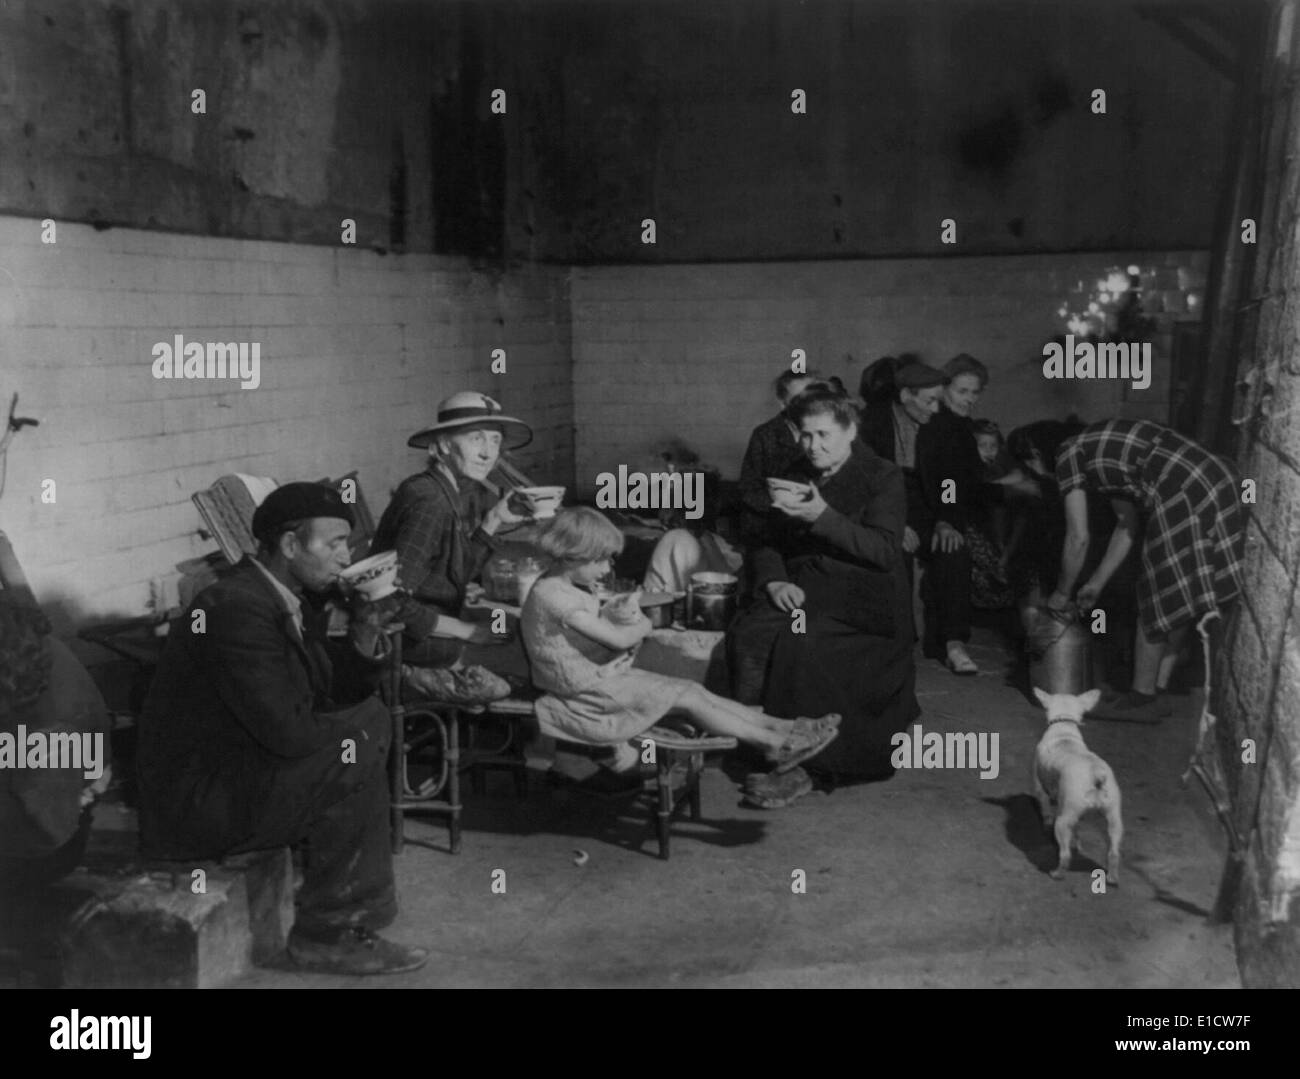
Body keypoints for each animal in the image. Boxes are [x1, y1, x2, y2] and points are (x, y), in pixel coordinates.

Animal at [1029, 691, 1123, 889]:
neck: (1064, 727)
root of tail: (1095, 773)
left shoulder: (1040, 789)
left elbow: (1045, 812)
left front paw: (1045, 826)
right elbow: (1078, 829)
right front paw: (1077, 841)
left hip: (1062, 821)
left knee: (1065, 855)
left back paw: (1057, 873)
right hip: (1114, 821)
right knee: (1113, 852)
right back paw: (1112, 877)